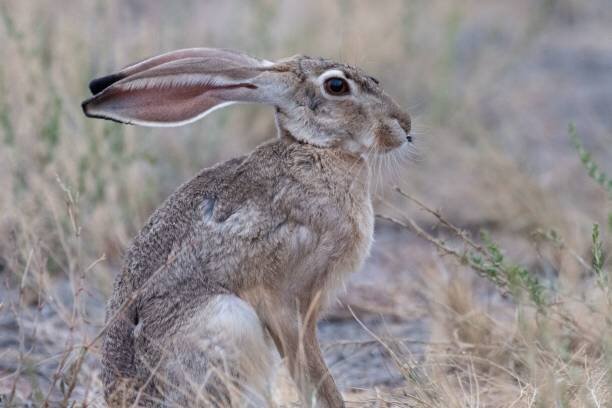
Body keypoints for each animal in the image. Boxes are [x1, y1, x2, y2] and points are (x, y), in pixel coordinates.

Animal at [81, 46, 412, 406]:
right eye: (336, 86)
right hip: (228, 324)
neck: (314, 150)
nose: (405, 126)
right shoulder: (287, 300)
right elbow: (310, 371)